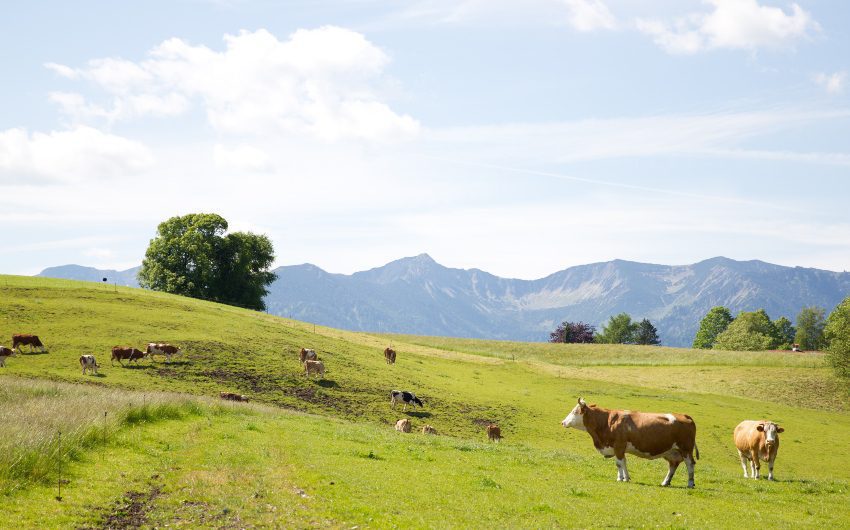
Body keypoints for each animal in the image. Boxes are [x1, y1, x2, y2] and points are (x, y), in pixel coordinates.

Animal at [564, 396, 696, 486]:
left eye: (574, 412)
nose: (563, 422)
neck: (607, 422)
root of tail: (684, 416)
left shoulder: (619, 446)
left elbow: (620, 463)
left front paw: (622, 478)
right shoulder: (618, 448)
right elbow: (621, 463)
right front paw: (623, 478)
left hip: (686, 449)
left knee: (690, 464)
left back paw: (690, 483)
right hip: (672, 452)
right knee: (673, 466)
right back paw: (665, 482)